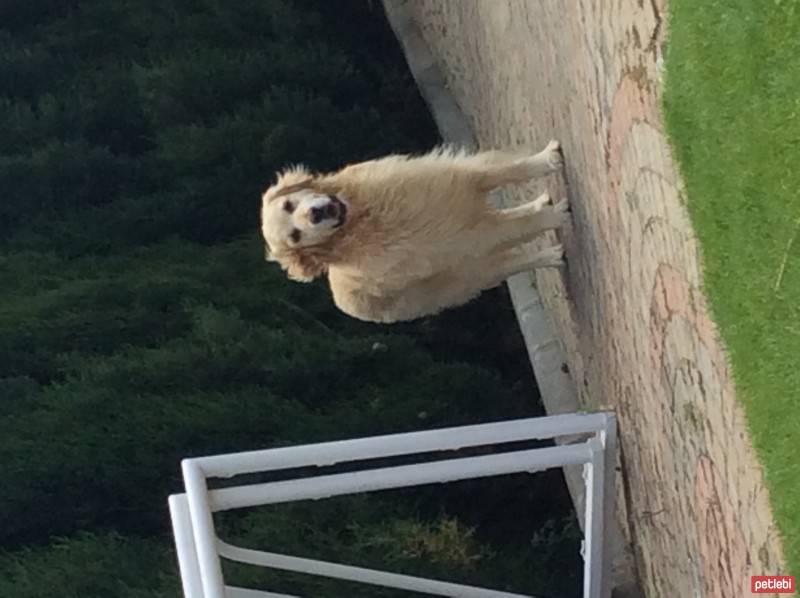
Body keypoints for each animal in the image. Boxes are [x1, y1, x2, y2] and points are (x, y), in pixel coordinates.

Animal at [260, 142, 564, 324]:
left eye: (289, 205)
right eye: (295, 237)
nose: (314, 215)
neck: (365, 217)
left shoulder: (458, 178)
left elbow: (511, 169)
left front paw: (549, 159)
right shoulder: (467, 239)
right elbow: (526, 226)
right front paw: (560, 214)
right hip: (466, 274)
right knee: (515, 259)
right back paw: (552, 255)